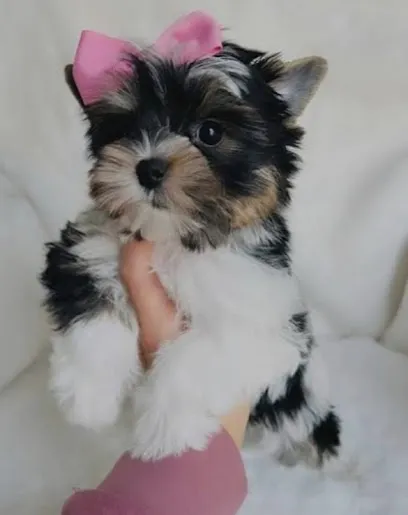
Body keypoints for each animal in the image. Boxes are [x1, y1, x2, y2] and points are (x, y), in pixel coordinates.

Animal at [41, 37, 342, 464]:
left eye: (210, 132)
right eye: (124, 129)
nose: (147, 168)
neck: (176, 239)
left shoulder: (264, 317)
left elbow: (204, 352)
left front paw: (165, 428)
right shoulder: (88, 249)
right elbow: (93, 304)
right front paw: (88, 392)